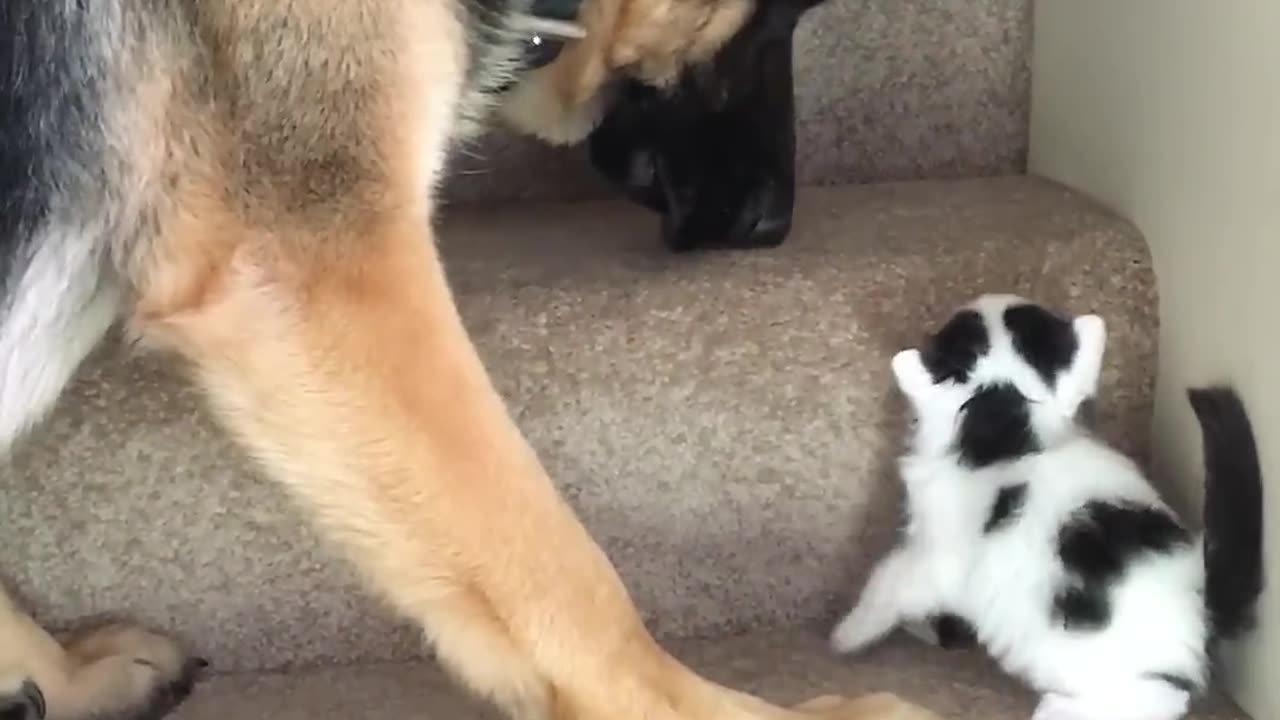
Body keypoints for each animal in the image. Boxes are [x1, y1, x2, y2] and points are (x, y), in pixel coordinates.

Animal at [829, 292, 1259, 717]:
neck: (1006, 420)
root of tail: (1204, 596)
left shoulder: (933, 557)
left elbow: (886, 585)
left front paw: (846, 635)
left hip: (1115, 694)